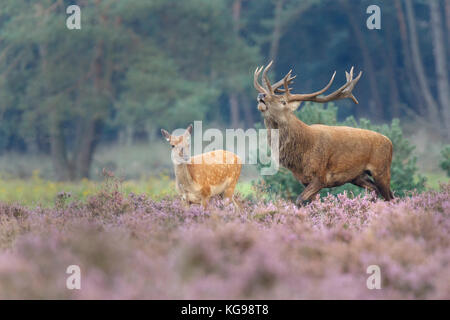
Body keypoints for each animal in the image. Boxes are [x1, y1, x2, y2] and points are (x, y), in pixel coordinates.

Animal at [253, 60, 394, 205]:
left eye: (283, 102)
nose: (261, 95)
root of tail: (389, 142)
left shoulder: (320, 177)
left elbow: (299, 199)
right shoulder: (304, 180)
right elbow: (313, 202)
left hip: (381, 169)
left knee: (391, 197)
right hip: (358, 176)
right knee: (375, 190)